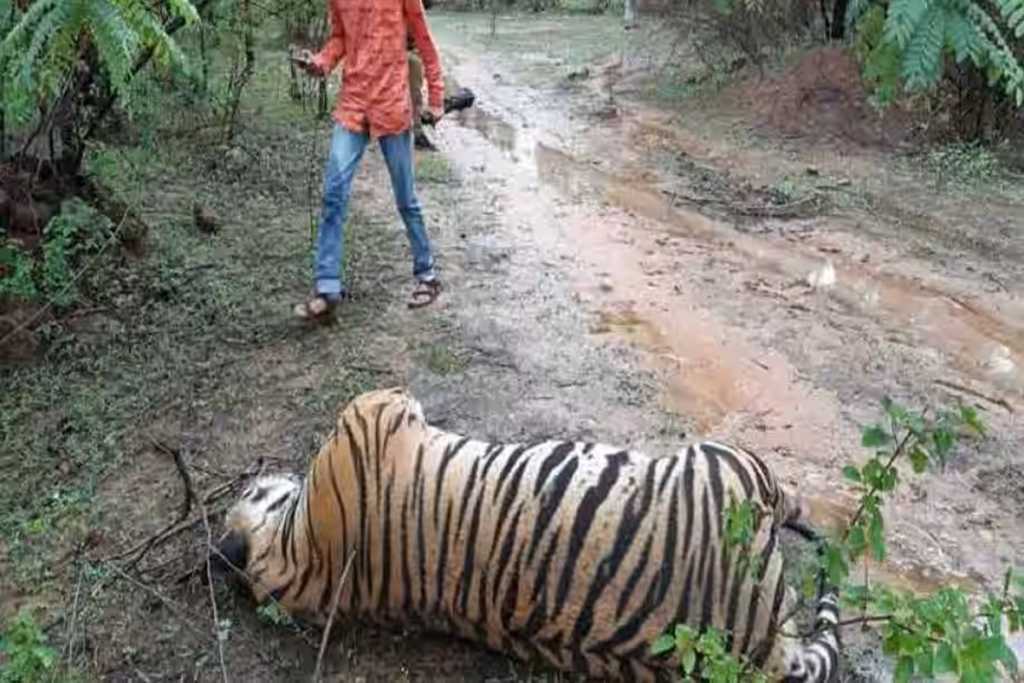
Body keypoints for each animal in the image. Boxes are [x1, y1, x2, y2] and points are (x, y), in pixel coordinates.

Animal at [216, 387, 839, 679]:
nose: (254, 473)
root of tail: (764, 653)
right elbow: (394, 396)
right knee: (788, 499)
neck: (301, 565)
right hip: (730, 461)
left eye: (246, 492)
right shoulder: (369, 413)